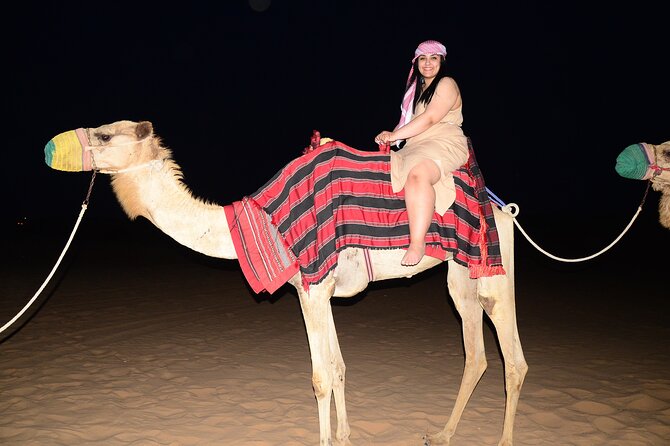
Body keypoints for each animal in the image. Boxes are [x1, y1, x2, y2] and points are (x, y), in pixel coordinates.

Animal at [45, 120, 526, 445]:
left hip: (492, 267)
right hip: (461, 276)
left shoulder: (312, 287)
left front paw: (326, 440)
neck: (264, 222)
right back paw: (442, 434)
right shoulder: (317, 290)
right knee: (477, 355)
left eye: (106, 136)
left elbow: (319, 376)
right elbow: (338, 367)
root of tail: (502, 208)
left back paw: (503, 440)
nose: (50, 146)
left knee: (513, 359)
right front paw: (344, 435)